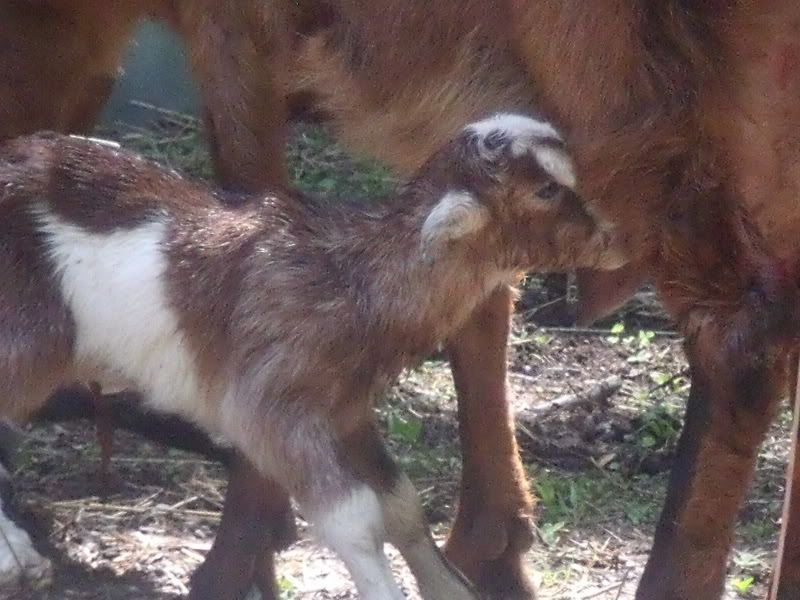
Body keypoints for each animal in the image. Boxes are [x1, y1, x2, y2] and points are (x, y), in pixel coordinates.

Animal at [0, 114, 622, 598]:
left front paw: (452, 590)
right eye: (542, 191)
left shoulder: (344, 409)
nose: (613, 239)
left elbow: (402, 506)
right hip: (26, 343)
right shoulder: (270, 410)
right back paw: (17, 557)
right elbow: (355, 520)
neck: (350, 280)